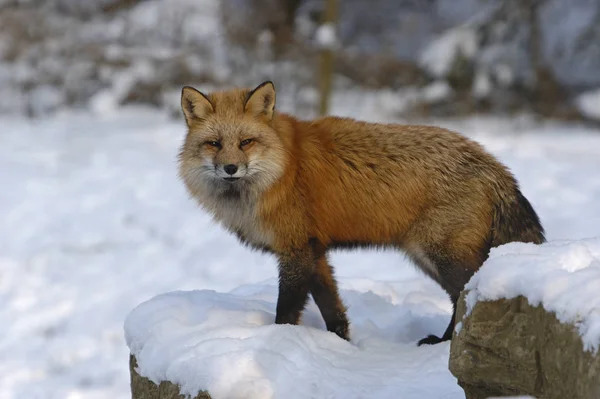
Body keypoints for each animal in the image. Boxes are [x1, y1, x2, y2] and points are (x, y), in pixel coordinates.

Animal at [176, 82, 548, 346]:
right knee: (459, 300)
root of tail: (495, 165)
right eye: (214, 144)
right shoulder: (315, 252)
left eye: (246, 142)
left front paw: (278, 340)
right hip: (427, 258)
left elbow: (286, 309)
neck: (281, 171)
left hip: (443, 256)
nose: (230, 168)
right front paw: (341, 345)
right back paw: (443, 342)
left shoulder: (295, 251)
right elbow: (333, 310)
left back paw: (446, 344)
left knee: (465, 298)